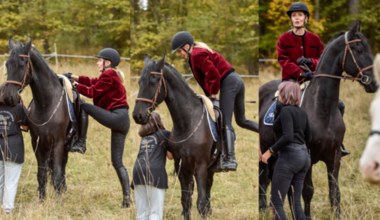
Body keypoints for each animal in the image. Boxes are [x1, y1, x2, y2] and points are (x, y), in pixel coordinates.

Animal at [2, 39, 72, 199]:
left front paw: (59, 200)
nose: (8, 97)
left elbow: (57, 175)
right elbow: (41, 174)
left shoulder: (58, 143)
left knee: (62, 166)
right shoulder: (37, 143)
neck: (46, 104)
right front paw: (42, 199)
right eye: (7, 64)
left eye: (22, 64)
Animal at [133, 56, 220, 220]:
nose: (137, 115)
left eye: (153, 82)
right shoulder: (182, 168)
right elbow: (186, 201)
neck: (187, 123)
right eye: (139, 82)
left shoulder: (200, 167)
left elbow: (200, 203)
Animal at [256, 21, 378, 218]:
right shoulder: (308, 156)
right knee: (263, 179)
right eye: (359, 49)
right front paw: (306, 216)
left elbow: (334, 192)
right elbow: (307, 191)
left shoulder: (334, 157)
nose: (374, 83)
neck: (321, 108)